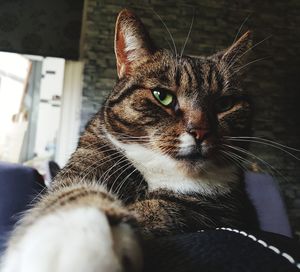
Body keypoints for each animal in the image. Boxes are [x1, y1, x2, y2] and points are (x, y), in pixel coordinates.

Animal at [0, 9, 258, 272]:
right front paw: (75, 237)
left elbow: (165, 208)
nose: (200, 131)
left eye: (224, 104)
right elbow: (72, 192)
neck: (158, 171)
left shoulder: (222, 208)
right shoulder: (86, 164)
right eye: (162, 96)